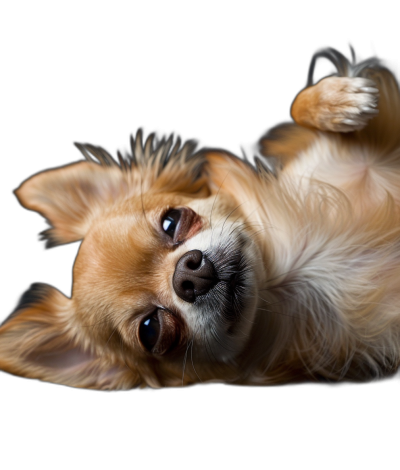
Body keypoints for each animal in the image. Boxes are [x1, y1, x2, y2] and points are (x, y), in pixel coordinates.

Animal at [0, 50, 400, 390]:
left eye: (171, 221)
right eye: (151, 330)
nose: (189, 275)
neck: (297, 266)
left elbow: (297, 104)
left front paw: (337, 101)